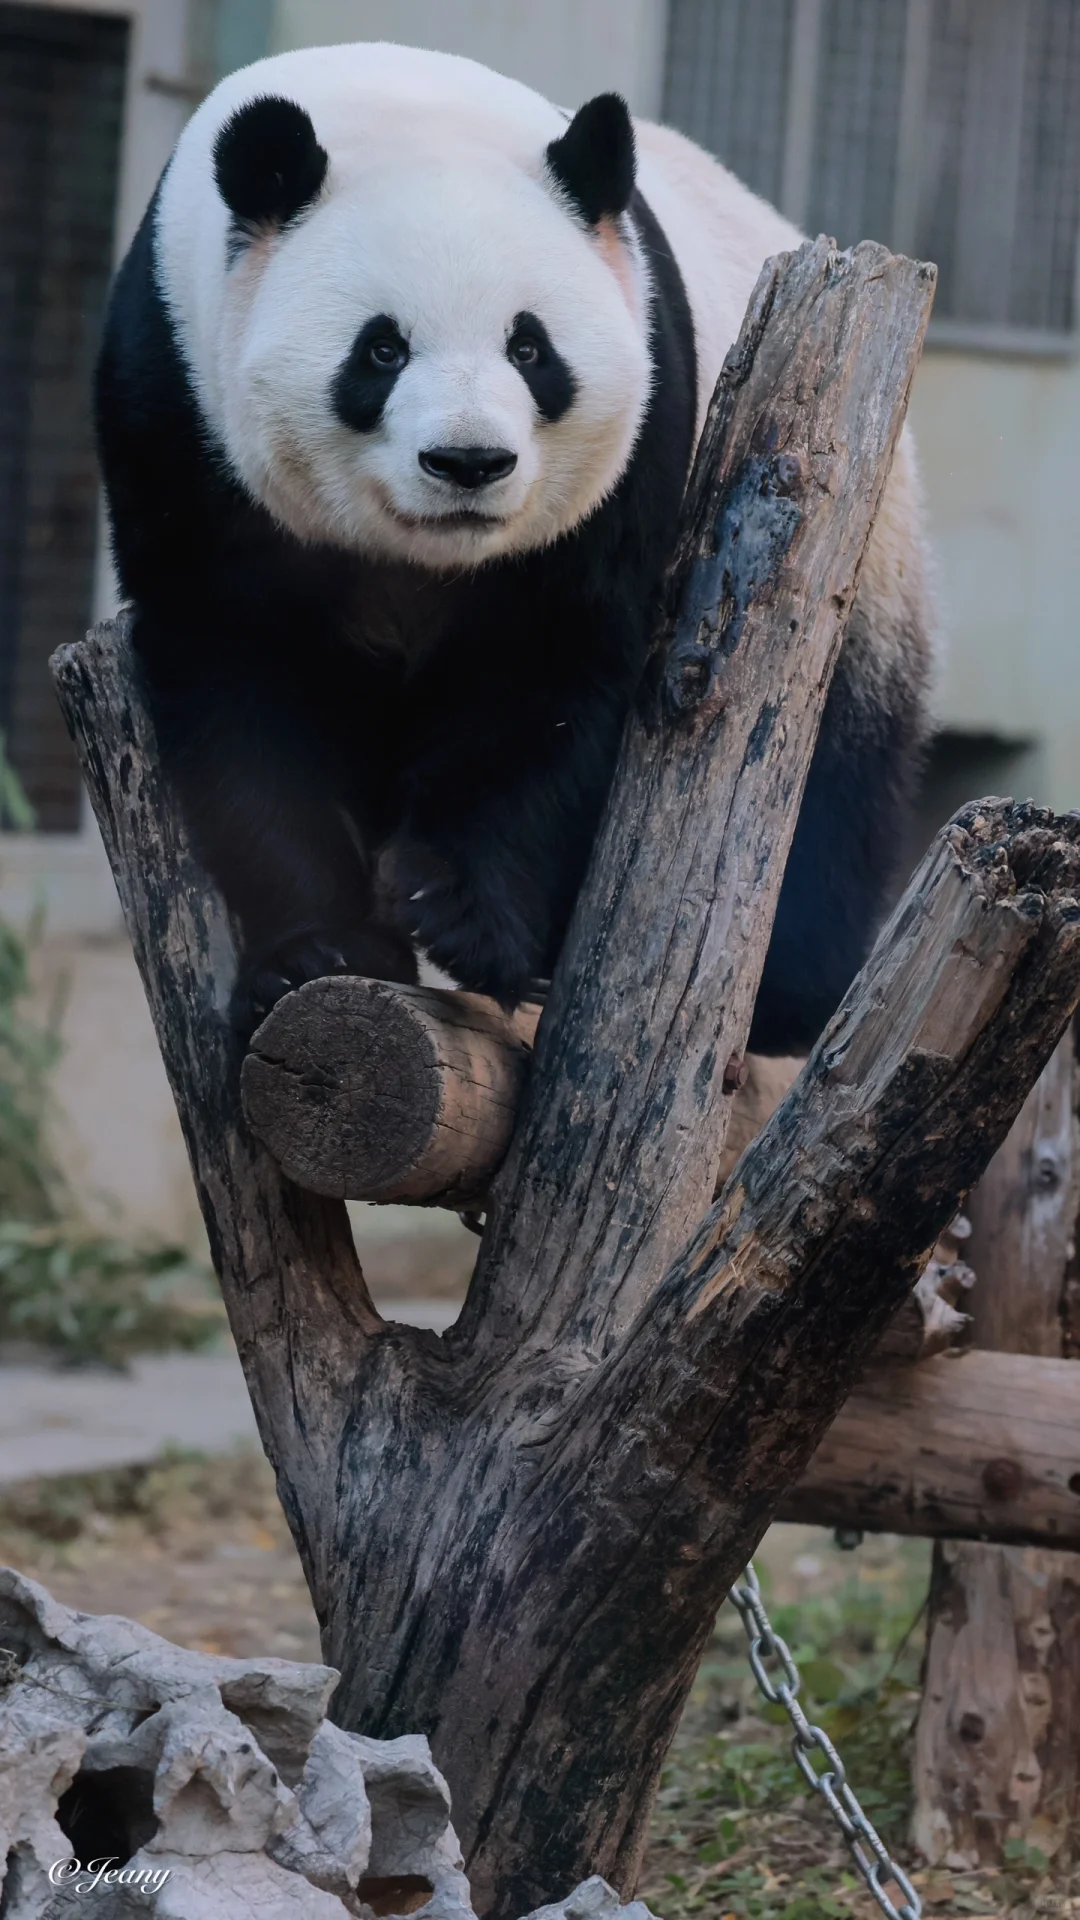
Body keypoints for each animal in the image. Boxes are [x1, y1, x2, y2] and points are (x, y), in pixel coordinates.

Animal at [94, 37, 933, 1044]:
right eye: (381, 350)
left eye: (530, 350)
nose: (469, 462)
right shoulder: (177, 400)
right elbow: (239, 671)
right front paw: (317, 951)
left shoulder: (643, 421)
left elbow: (554, 671)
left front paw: (464, 918)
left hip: (864, 568)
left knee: (834, 774)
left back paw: (784, 996)